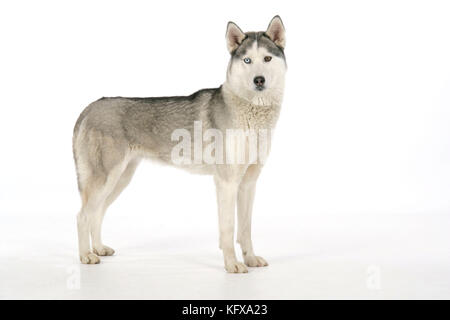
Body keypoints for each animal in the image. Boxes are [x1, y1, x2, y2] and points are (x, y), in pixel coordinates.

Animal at [72, 15, 286, 272]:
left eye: (267, 58)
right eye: (247, 60)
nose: (259, 80)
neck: (251, 112)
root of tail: (89, 107)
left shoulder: (248, 183)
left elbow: (245, 230)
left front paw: (250, 259)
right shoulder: (226, 182)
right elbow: (228, 229)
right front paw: (232, 264)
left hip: (120, 179)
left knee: (97, 213)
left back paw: (99, 249)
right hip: (104, 179)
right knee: (82, 215)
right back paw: (86, 255)